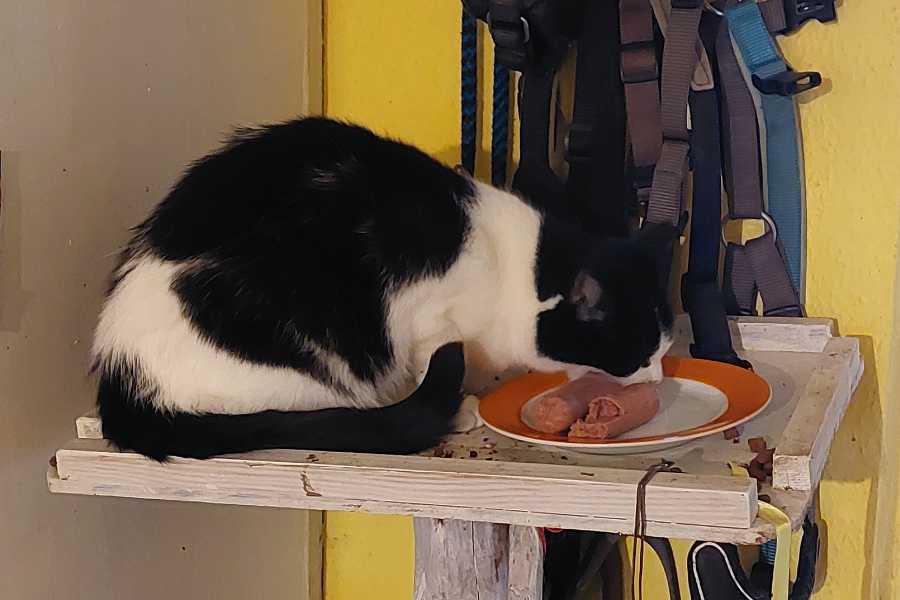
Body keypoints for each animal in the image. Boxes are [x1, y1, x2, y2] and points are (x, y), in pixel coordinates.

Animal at [93, 119, 676, 462]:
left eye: (664, 349)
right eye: (639, 354)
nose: (660, 379)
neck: (515, 269)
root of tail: (119, 372)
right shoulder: (426, 315)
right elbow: (428, 361)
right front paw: (460, 406)